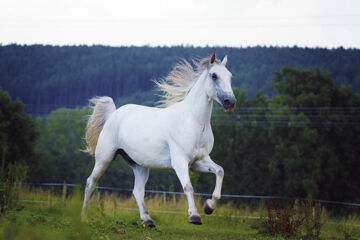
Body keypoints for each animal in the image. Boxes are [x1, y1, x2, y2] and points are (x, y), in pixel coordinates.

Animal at [81, 52, 236, 227]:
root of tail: (113, 114)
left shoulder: (198, 161)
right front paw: (195, 216)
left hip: (139, 165)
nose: (230, 102)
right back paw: (83, 218)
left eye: (230, 76)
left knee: (138, 191)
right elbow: (188, 187)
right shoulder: (180, 161)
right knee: (90, 183)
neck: (193, 121)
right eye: (214, 75)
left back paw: (148, 220)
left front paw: (209, 207)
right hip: (104, 159)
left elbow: (220, 171)